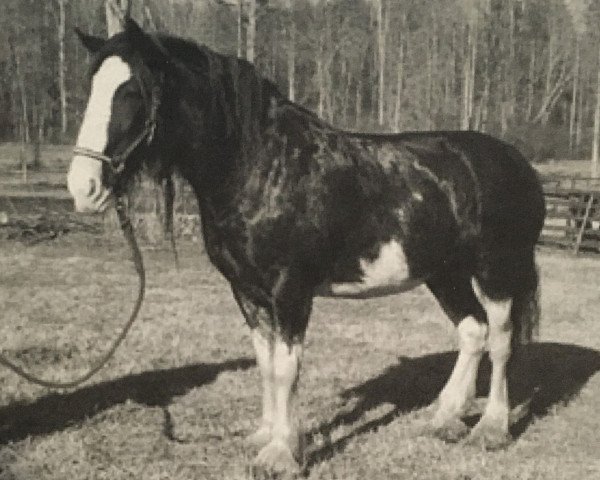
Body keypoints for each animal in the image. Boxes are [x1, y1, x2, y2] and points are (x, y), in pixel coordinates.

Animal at [68, 19, 548, 476]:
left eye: (133, 91)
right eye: (91, 86)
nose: (82, 187)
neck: (262, 165)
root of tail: (515, 160)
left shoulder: (290, 290)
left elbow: (286, 367)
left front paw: (281, 454)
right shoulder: (248, 292)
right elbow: (265, 362)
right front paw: (265, 435)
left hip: (497, 269)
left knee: (500, 339)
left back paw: (491, 429)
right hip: (445, 274)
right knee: (472, 331)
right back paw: (444, 418)